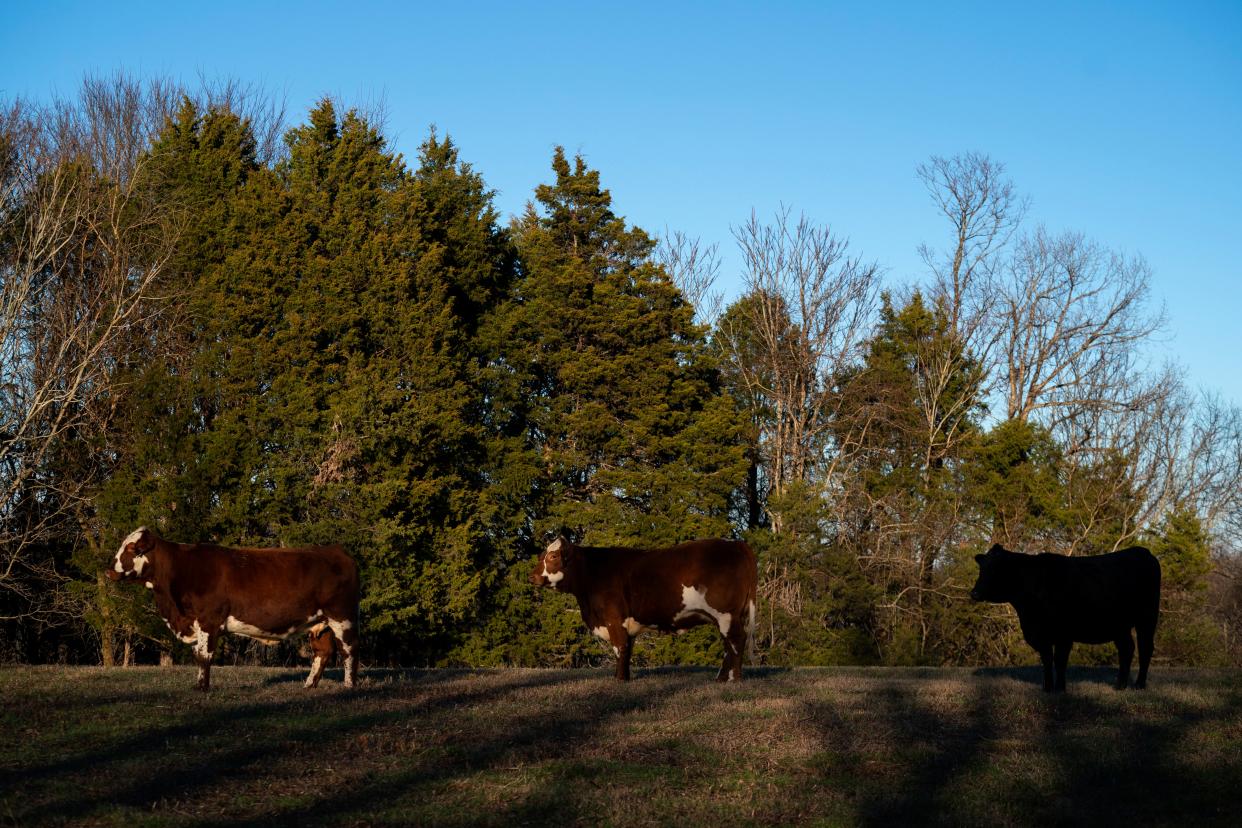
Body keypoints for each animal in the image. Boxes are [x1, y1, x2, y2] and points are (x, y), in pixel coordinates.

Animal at [106, 523, 362, 695]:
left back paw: (349, 686)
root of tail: (337, 550)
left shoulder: (208, 620)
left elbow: (203, 655)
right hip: (320, 622)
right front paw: (199, 685)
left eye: (133, 548)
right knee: (323, 652)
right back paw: (309, 685)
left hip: (342, 616)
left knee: (348, 649)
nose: (109, 570)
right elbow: (198, 655)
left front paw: (202, 687)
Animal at [526, 538, 750, 680]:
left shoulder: (614, 619)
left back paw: (734, 679)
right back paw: (722, 678)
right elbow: (627, 650)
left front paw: (618, 680)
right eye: (541, 556)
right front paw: (625, 678)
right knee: (728, 645)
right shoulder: (627, 624)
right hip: (726, 617)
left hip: (726, 614)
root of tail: (736, 543)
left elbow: (620, 648)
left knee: (736, 641)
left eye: (553, 557)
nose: (532, 576)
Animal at [968, 543, 1162, 695]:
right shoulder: (1039, 633)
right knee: (1127, 649)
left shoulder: (1064, 633)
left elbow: (1060, 660)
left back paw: (1139, 685)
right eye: (982, 568)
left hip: (1147, 617)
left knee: (1145, 648)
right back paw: (1120, 686)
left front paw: (1060, 689)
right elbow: (1047, 660)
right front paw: (1047, 689)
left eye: (996, 569)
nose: (974, 593)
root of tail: (1143, 551)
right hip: (1119, 626)